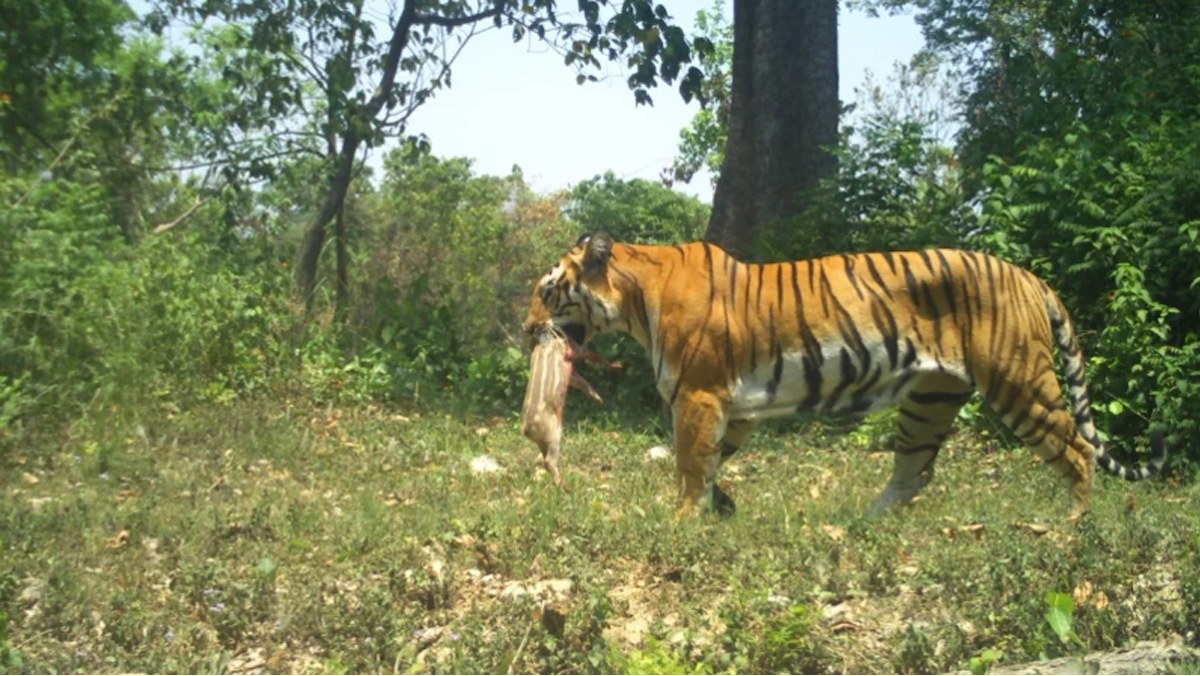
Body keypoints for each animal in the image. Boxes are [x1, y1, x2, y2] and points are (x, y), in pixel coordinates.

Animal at [523, 230, 1161, 521]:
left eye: (545, 291)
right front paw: (718, 506)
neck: (634, 297)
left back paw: (1069, 524)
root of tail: (1029, 276)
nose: (527, 330)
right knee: (914, 472)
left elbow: (688, 464)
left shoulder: (699, 397)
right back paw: (862, 523)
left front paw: (682, 518)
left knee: (1076, 448)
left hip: (1018, 381)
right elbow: (711, 461)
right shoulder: (734, 409)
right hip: (930, 400)